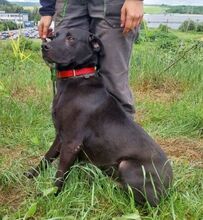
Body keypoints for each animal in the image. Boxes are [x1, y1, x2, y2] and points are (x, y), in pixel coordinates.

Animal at [24, 27, 172, 206]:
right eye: (53, 36)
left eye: (71, 38)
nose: (44, 46)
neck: (77, 78)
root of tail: (170, 186)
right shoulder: (60, 136)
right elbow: (47, 157)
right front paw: (31, 175)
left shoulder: (71, 141)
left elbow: (60, 173)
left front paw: (51, 196)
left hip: (127, 166)